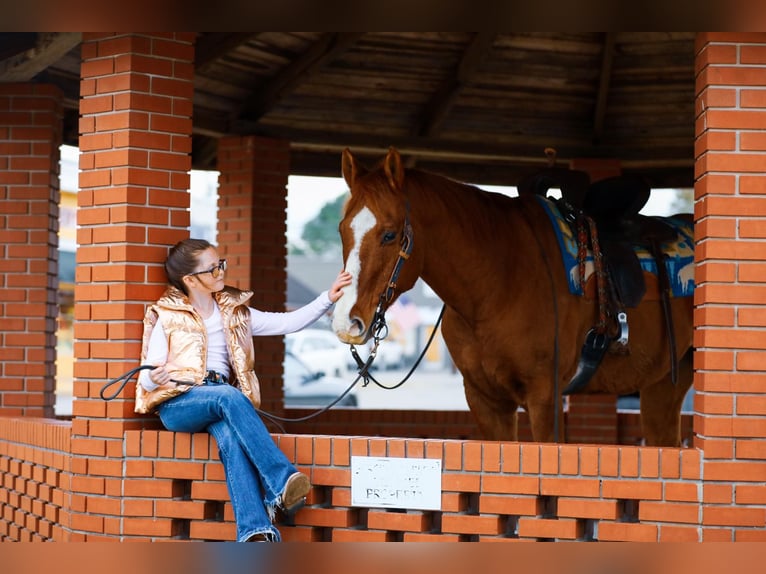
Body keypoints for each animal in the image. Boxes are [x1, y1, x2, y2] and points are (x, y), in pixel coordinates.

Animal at [331, 147, 694, 447]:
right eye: (341, 229)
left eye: (390, 234)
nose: (346, 321)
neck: (497, 283)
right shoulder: (486, 401)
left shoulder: (545, 397)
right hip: (664, 384)